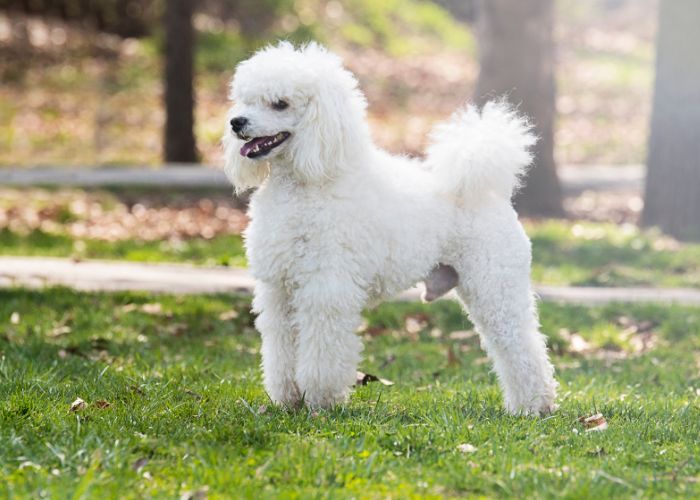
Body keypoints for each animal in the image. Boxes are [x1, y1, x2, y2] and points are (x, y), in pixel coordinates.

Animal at [223, 43, 556, 416]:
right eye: (245, 100)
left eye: (280, 103)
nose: (236, 122)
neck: (310, 181)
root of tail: (489, 190)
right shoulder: (279, 288)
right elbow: (281, 348)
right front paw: (288, 399)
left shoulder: (326, 288)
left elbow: (323, 350)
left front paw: (320, 401)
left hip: (495, 284)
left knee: (521, 345)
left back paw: (534, 406)